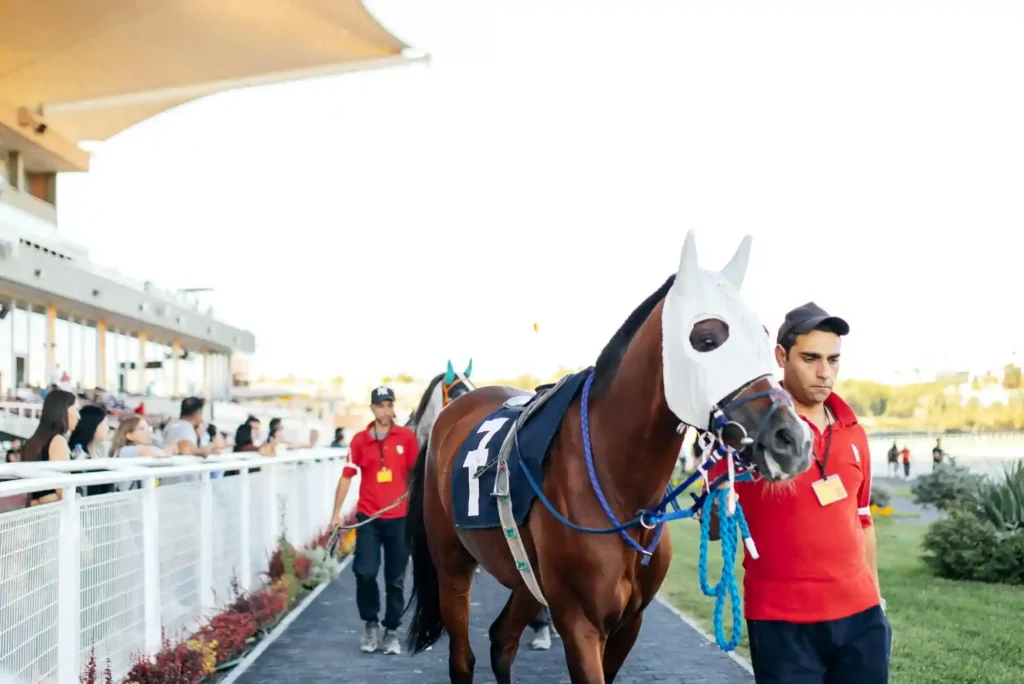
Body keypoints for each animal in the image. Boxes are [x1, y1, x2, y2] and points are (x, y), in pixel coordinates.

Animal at [404, 231, 814, 683]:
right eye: (706, 339)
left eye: (764, 334)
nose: (792, 441)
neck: (618, 485)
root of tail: (452, 415)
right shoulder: (580, 622)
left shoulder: (629, 622)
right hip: (452, 566)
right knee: (463, 656)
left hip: (526, 579)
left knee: (502, 640)